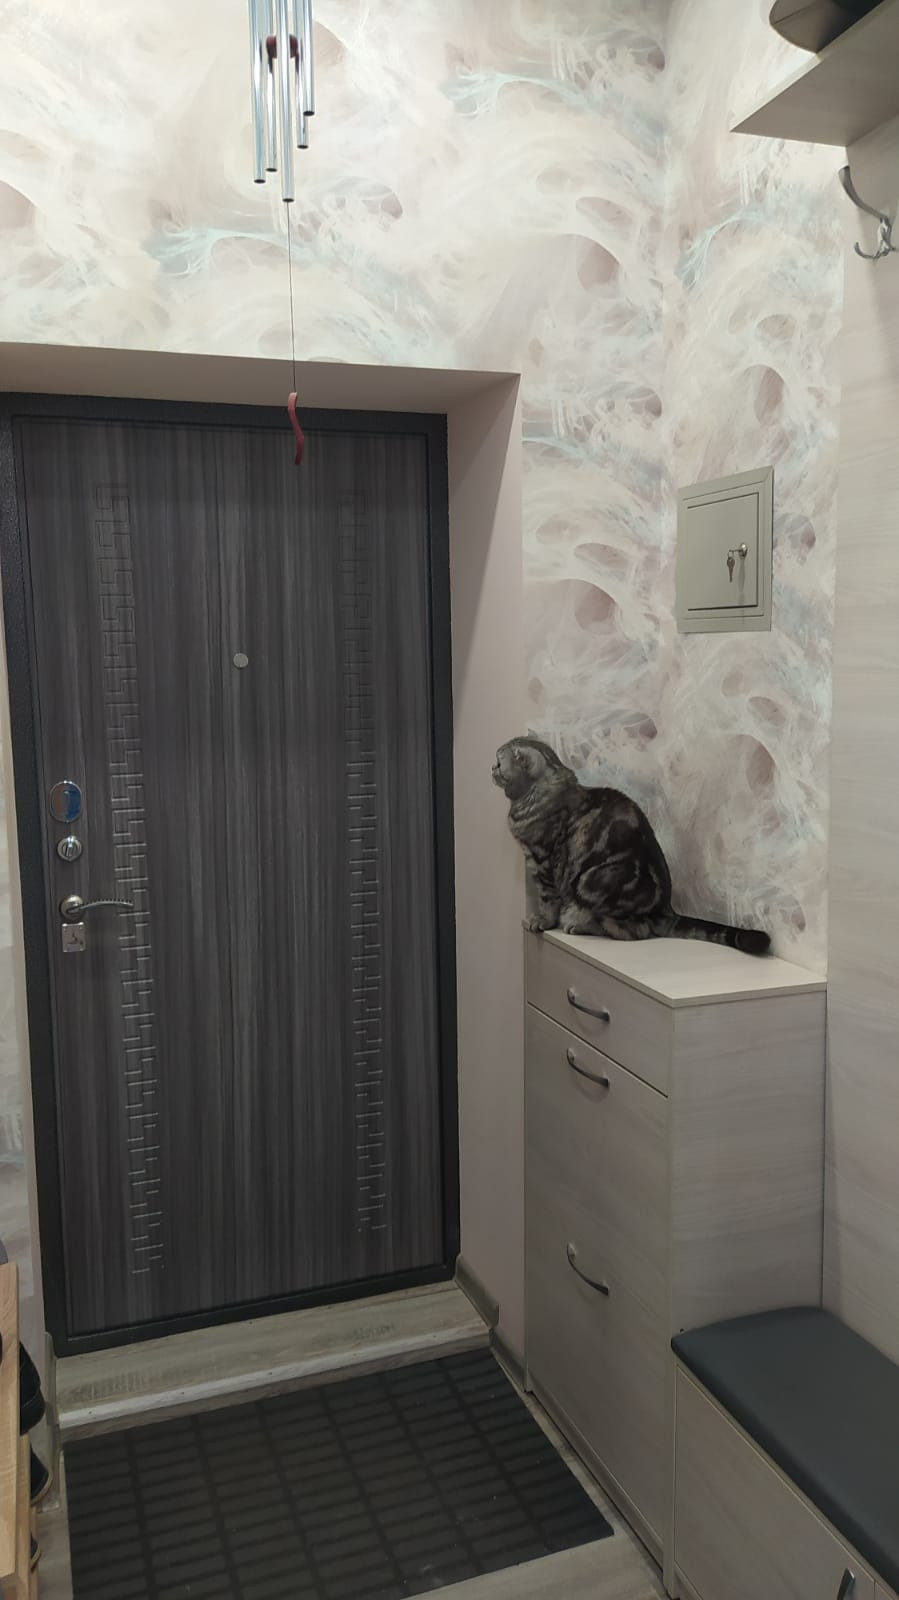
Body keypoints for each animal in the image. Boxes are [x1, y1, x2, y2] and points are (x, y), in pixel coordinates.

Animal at [493, 736, 771, 956]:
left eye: (498, 762)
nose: (490, 767)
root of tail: (665, 910)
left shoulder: (542, 858)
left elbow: (548, 898)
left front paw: (543, 921)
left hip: (592, 880)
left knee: (632, 931)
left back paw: (579, 925)